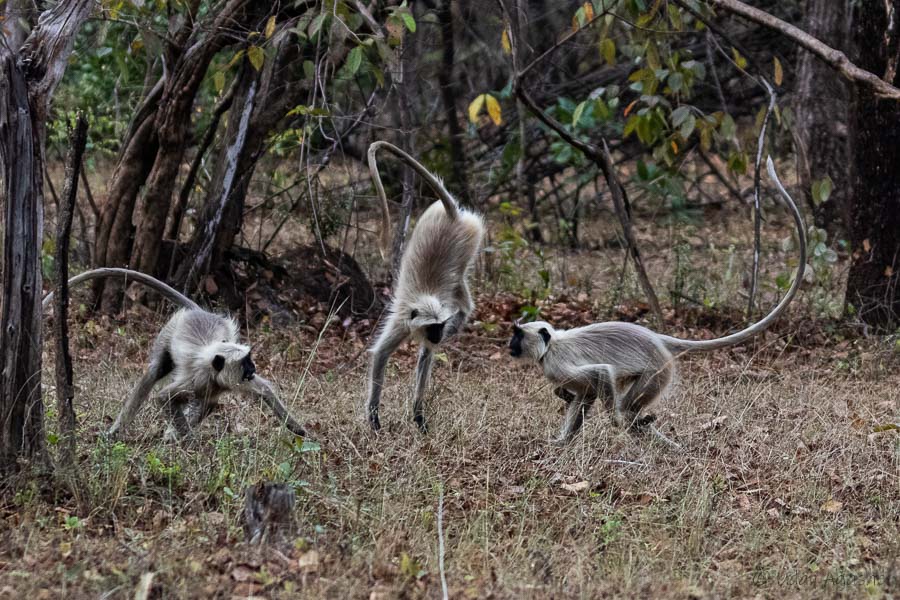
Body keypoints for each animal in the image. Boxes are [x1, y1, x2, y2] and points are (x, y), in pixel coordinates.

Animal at [42, 268, 308, 440]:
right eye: (246, 363)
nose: (253, 369)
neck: (213, 368)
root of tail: (197, 311)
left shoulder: (226, 381)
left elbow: (262, 390)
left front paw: (297, 429)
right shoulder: (197, 380)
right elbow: (163, 398)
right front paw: (187, 440)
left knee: (208, 401)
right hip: (169, 330)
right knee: (154, 373)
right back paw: (118, 431)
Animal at [364, 141, 486, 432]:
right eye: (433, 327)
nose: (440, 335)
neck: (423, 297)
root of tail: (452, 214)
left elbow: (425, 356)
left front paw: (418, 414)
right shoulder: (402, 322)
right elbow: (381, 355)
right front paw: (374, 414)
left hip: (471, 240)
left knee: (462, 294)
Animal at [506, 157, 808, 448]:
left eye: (518, 335)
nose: (510, 345)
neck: (551, 344)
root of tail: (655, 336)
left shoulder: (557, 363)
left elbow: (601, 374)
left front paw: (608, 421)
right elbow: (585, 395)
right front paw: (561, 442)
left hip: (657, 371)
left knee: (628, 407)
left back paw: (636, 425)